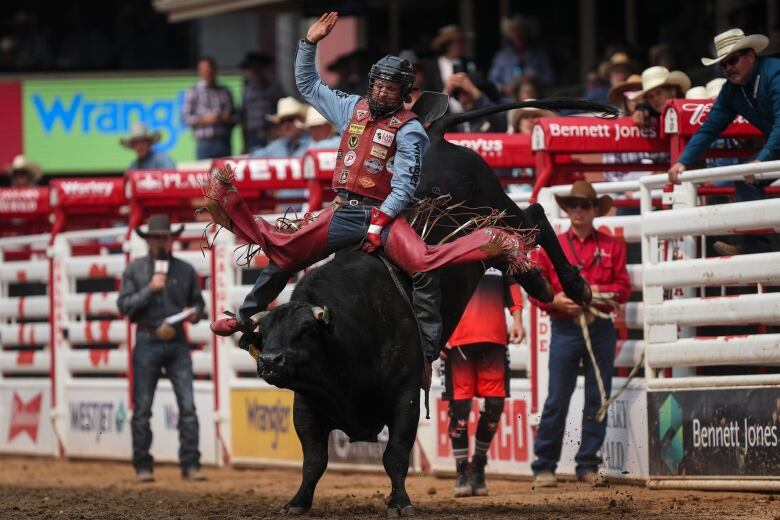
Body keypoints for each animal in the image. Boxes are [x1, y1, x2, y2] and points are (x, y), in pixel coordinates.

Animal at [244, 98, 616, 516]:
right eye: (265, 333)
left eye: (306, 331)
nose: (270, 361)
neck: (345, 336)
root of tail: (436, 137)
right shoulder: (307, 405)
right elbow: (314, 459)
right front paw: (298, 502)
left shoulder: (406, 396)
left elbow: (395, 455)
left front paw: (400, 502)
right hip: (486, 233)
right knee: (505, 247)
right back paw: (540, 284)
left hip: (501, 206)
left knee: (534, 216)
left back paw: (574, 285)